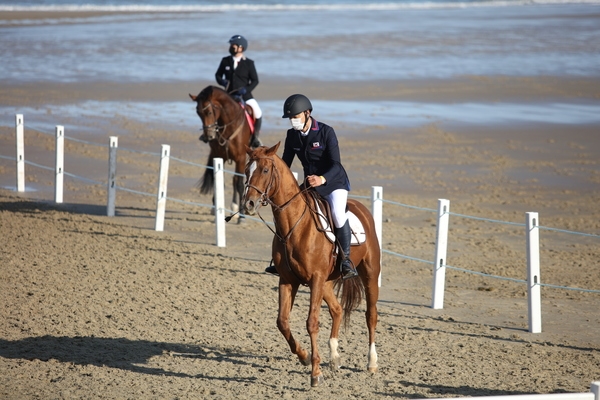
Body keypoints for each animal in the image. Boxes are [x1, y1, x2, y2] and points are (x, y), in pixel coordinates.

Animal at [188, 86, 253, 222]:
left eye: (209, 112)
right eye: (198, 113)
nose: (208, 137)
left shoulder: (241, 158)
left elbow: (240, 184)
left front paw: (241, 217)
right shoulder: (220, 156)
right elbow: (219, 183)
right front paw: (218, 210)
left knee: (235, 180)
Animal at [240, 142, 378, 386]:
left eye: (264, 170)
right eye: (247, 170)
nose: (249, 204)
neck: (295, 225)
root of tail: (361, 208)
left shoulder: (315, 279)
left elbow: (311, 323)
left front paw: (315, 373)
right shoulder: (288, 280)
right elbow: (282, 322)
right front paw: (304, 357)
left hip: (369, 274)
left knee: (370, 315)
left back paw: (371, 363)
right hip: (327, 282)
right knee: (337, 309)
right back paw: (334, 357)